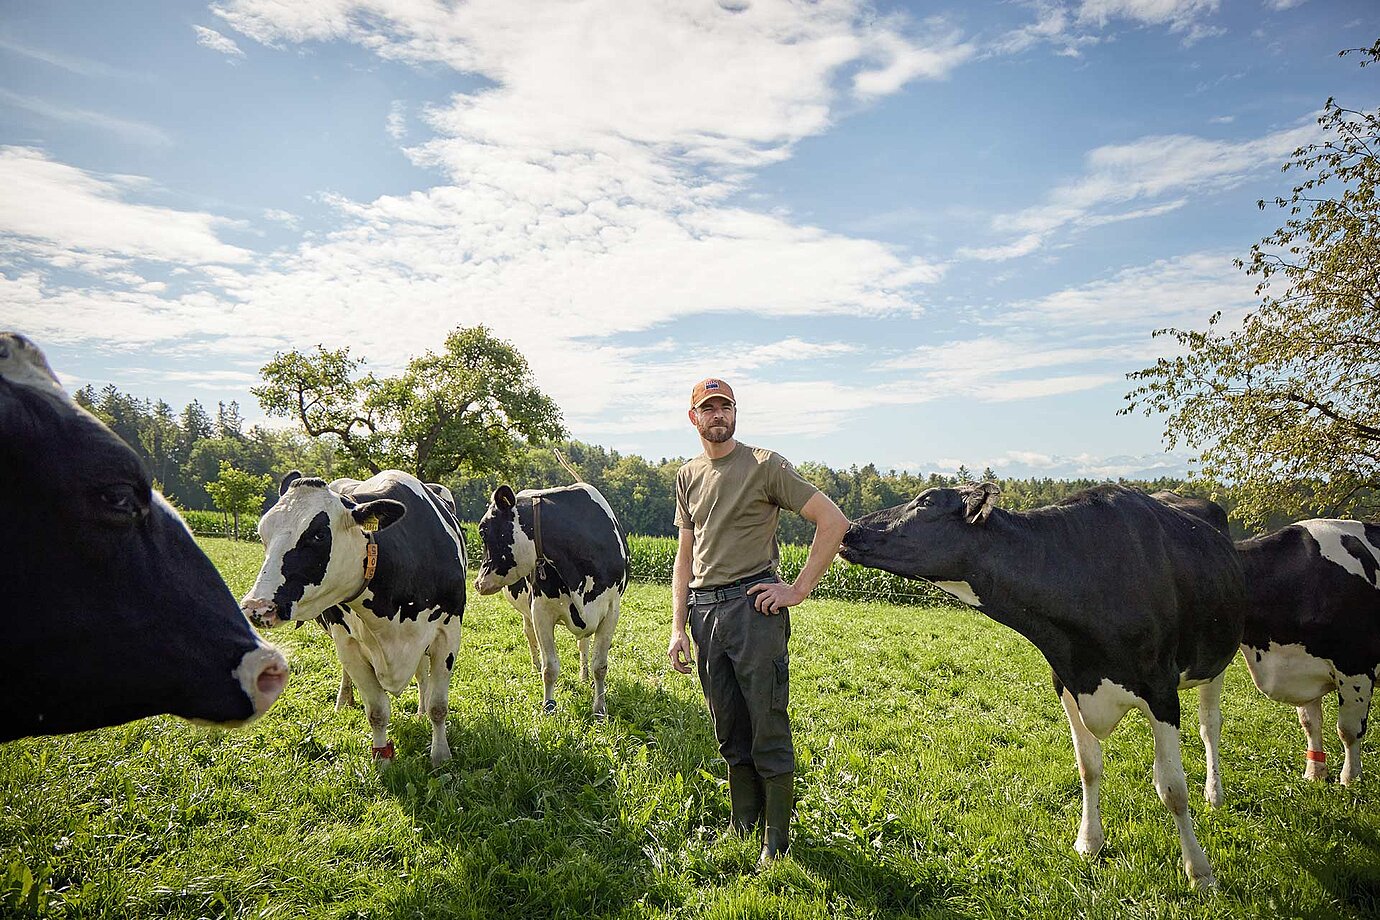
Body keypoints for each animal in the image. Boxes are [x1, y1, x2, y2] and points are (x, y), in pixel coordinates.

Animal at [244, 471, 469, 766]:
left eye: (318, 534)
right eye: (263, 534)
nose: (257, 607)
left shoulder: (447, 634)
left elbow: (438, 707)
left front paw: (440, 755)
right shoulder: (349, 646)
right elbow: (377, 711)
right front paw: (382, 760)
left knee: (422, 676)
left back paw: (419, 711)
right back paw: (344, 701)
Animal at [471, 482, 629, 717]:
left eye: (483, 530)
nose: (478, 583)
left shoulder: (610, 611)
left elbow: (600, 666)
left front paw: (600, 709)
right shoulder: (540, 612)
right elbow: (551, 667)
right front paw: (549, 706)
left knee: (583, 644)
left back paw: (583, 676)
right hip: (527, 611)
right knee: (530, 635)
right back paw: (535, 665)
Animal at [839, 485, 1253, 888]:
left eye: (925, 501)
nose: (850, 528)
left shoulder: (1160, 690)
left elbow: (1173, 789)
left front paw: (1199, 872)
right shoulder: (1066, 681)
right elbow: (1088, 767)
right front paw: (1089, 842)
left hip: (1216, 659)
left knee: (1210, 725)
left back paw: (1214, 794)